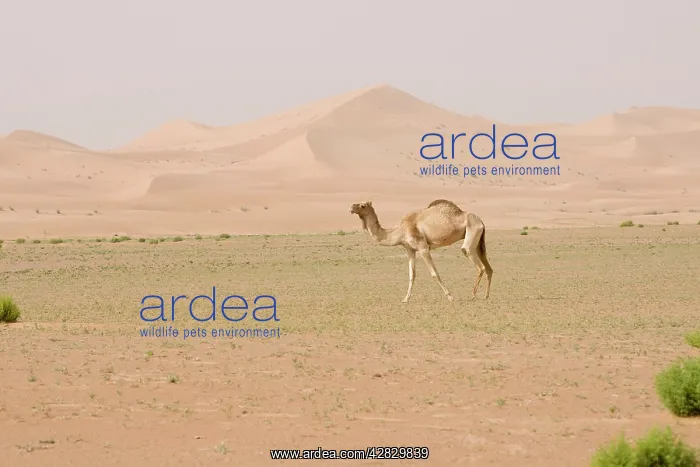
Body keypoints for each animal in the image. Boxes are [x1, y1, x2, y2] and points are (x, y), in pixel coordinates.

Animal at [349, 199, 492, 303]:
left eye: (362, 206)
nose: (351, 207)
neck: (399, 230)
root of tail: (481, 221)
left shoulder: (423, 247)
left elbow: (434, 273)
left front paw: (450, 296)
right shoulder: (410, 249)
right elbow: (412, 275)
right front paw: (405, 299)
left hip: (471, 233)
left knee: (477, 263)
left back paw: (473, 295)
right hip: (478, 241)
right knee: (488, 268)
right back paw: (485, 296)